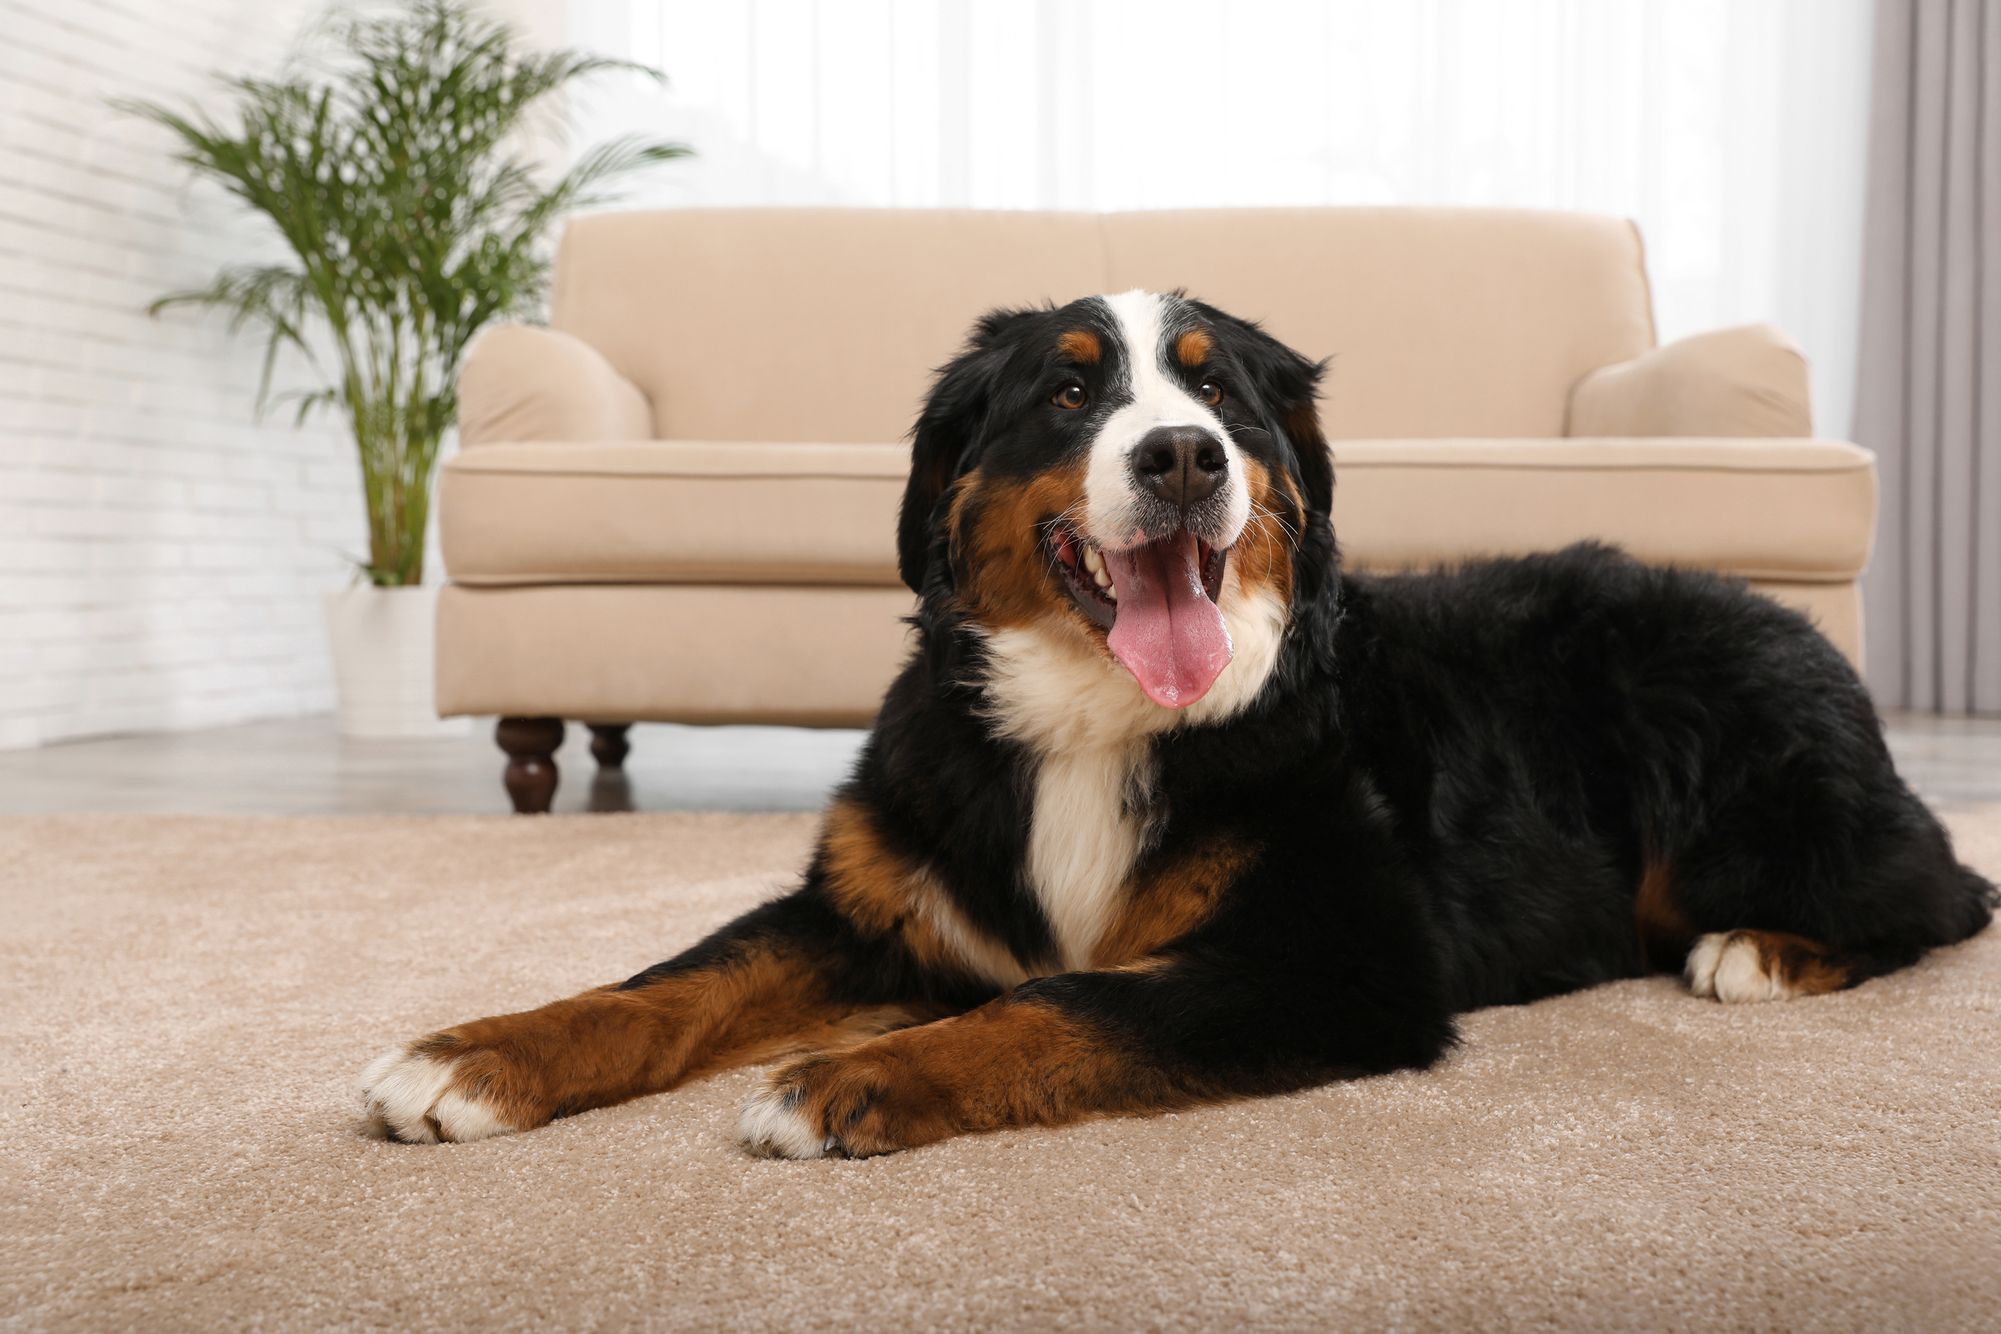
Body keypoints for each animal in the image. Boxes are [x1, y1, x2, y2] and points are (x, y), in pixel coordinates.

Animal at [364, 290, 2000, 1160]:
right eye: (1070, 391)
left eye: (1228, 400)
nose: (1181, 456)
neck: (1095, 722)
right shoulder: (875, 902)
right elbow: (663, 983)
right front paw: (471, 1054)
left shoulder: (1343, 961)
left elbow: (1066, 1003)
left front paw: (849, 1080)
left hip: (1748, 786)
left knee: (1938, 891)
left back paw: (1760, 952)